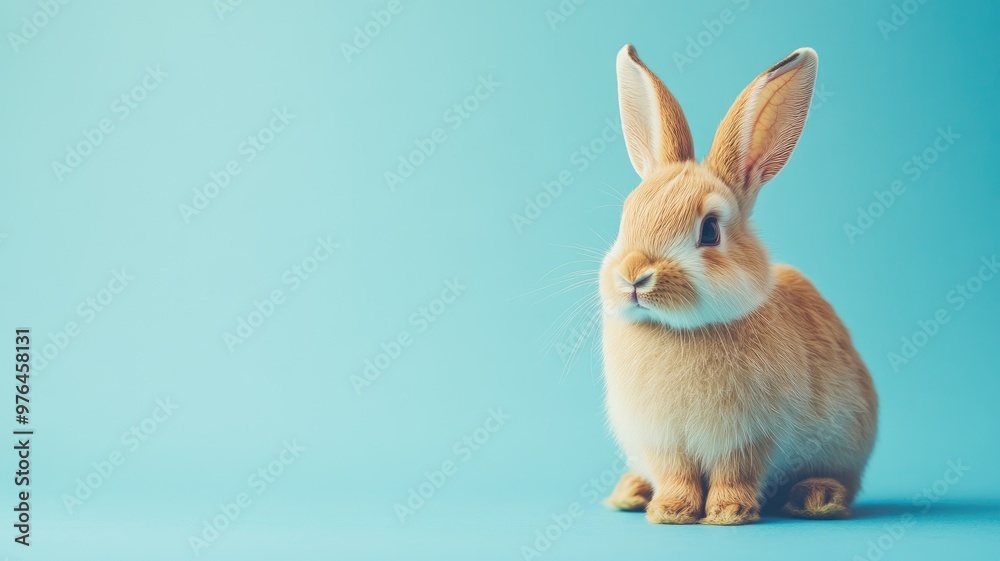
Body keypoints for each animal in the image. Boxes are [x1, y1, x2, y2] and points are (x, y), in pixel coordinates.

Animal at [599, 45, 878, 525]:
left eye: (709, 231)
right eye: (627, 218)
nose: (633, 275)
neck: (679, 331)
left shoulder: (748, 438)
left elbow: (735, 473)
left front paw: (728, 513)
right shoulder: (663, 442)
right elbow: (675, 474)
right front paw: (670, 511)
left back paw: (817, 498)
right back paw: (631, 492)